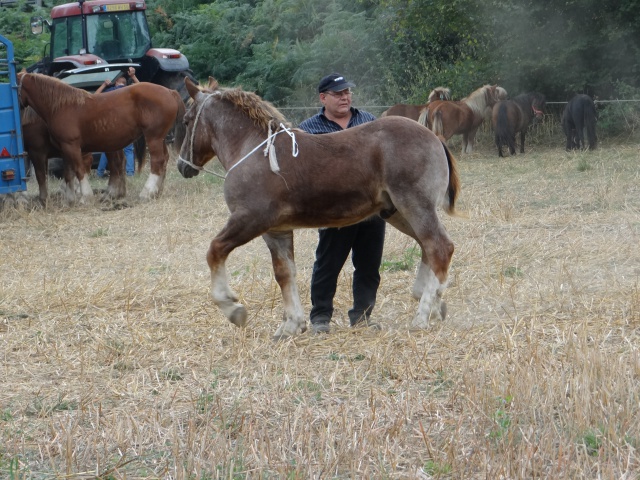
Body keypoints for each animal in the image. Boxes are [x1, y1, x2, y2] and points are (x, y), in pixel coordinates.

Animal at [16, 71, 185, 202]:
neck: (61, 106)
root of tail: (170, 91)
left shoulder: (70, 146)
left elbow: (78, 171)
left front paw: (85, 197)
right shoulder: (65, 149)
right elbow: (69, 173)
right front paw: (70, 199)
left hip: (153, 137)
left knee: (157, 161)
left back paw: (147, 192)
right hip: (160, 138)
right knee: (164, 159)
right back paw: (157, 191)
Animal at [178, 77, 462, 340]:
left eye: (187, 121)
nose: (182, 165)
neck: (256, 151)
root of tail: (434, 138)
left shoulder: (250, 219)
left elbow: (215, 251)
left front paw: (233, 308)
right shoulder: (276, 231)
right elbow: (285, 273)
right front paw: (292, 324)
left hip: (415, 206)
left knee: (439, 247)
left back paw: (422, 315)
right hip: (398, 213)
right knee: (428, 247)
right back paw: (434, 303)